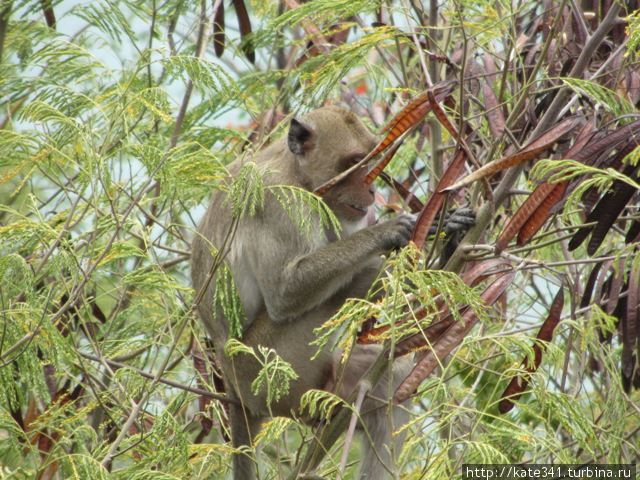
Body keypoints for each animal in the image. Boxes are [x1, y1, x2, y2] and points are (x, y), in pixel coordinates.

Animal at [190, 108, 470, 480]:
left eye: (371, 164)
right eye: (353, 164)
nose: (371, 189)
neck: (297, 172)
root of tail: (234, 389)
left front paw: (448, 230)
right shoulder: (280, 200)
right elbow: (286, 292)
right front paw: (394, 232)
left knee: (389, 381)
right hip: (267, 369)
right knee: (355, 281)